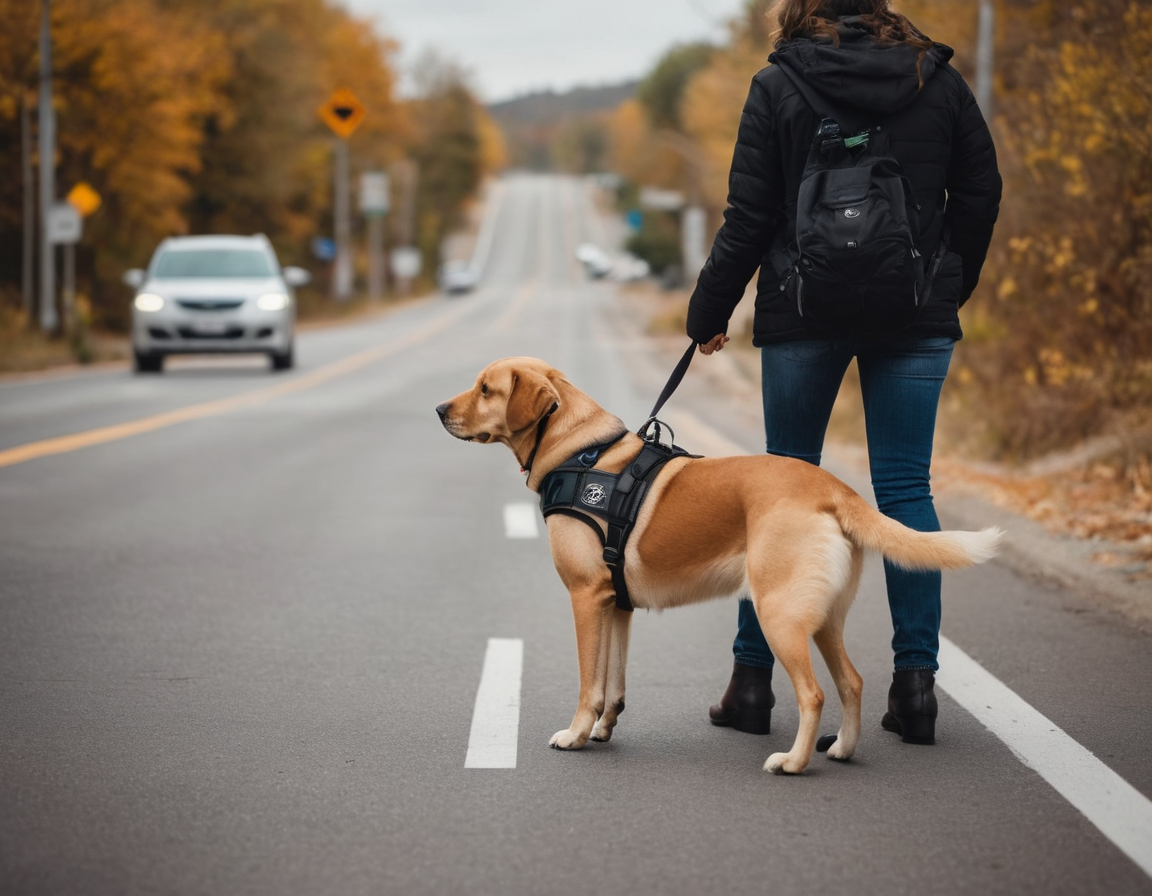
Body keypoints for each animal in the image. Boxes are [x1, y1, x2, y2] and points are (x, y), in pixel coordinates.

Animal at [435, 354, 995, 769]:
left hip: (779, 615)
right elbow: (614, 684)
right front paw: (604, 729)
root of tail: (834, 488)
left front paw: (575, 733)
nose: (439, 409)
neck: (582, 452)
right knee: (852, 682)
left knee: (814, 693)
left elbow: (589, 684)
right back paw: (840, 749)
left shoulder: (586, 598)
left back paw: (793, 762)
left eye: (486, 389)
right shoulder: (617, 606)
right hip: (822, 619)